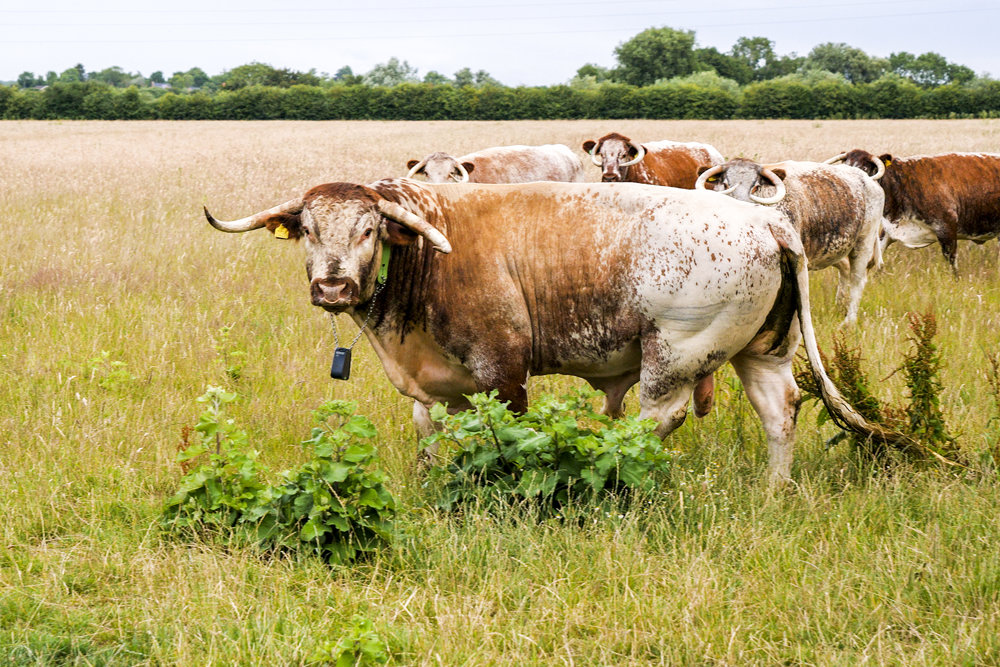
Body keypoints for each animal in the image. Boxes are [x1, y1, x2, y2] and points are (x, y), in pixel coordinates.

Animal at [205, 179, 898, 484]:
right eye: (309, 230)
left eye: (369, 229)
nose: (333, 288)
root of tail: (767, 221)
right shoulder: (436, 388)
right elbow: (432, 437)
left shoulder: (502, 372)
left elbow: (507, 435)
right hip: (763, 351)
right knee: (781, 411)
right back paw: (774, 491)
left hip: (675, 354)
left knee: (657, 418)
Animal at [695, 158, 884, 326]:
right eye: (725, 184)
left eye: (756, 186)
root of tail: (869, 180)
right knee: (844, 269)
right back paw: (840, 305)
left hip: (864, 242)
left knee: (857, 281)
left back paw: (848, 321)